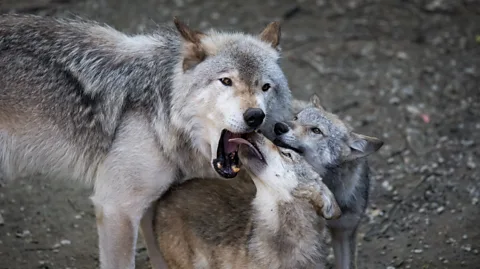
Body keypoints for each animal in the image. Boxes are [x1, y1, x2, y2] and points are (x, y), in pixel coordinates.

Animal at [0, 14, 292, 268]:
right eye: (226, 81)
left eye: (266, 87)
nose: (255, 115)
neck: (159, 114)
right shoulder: (116, 208)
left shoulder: (150, 205)